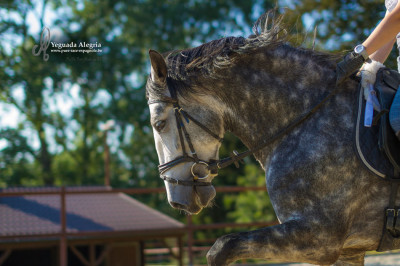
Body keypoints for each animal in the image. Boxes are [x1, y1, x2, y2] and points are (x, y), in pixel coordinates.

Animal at [145, 13, 390, 264]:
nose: (176, 201)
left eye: (159, 124)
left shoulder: (320, 237)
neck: (308, 116)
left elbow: (222, 247)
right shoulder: (348, 250)